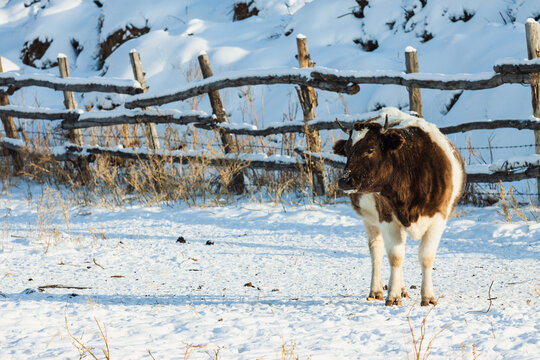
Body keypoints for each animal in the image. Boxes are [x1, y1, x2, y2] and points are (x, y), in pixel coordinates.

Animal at [334, 110, 464, 306]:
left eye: (370, 149)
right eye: (347, 151)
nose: (344, 180)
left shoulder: (439, 217)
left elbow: (426, 256)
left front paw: (428, 296)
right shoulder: (386, 216)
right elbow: (395, 256)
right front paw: (393, 295)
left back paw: (402, 289)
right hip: (370, 219)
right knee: (377, 251)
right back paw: (376, 290)